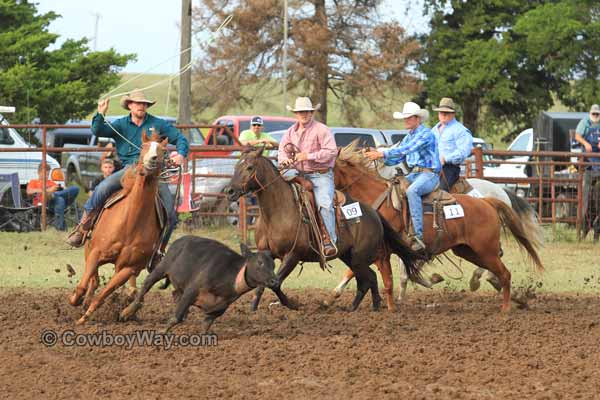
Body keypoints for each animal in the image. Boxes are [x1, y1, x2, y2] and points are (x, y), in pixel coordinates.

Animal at [69, 133, 168, 324]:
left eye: (162, 150)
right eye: (143, 147)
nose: (151, 159)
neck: (131, 222)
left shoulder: (128, 268)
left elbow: (103, 296)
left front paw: (84, 318)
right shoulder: (96, 252)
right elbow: (83, 285)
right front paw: (76, 301)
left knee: (129, 289)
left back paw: (127, 309)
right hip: (88, 248)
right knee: (94, 279)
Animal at [223, 148, 420, 312]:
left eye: (249, 167)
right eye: (236, 166)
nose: (229, 191)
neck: (277, 212)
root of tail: (374, 213)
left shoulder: (292, 255)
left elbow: (275, 282)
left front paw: (292, 304)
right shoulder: (266, 253)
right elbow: (262, 282)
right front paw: (253, 308)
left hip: (359, 257)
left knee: (368, 278)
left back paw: (372, 307)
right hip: (349, 256)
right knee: (368, 278)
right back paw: (361, 307)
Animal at [332, 144, 544, 312]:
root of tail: (488, 201)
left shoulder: (385, 249)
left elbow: (387, 275)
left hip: (484, 248)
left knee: (503, 270)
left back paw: (504, 305)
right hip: (467, 250)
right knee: (498, 267)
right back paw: (507, 293)